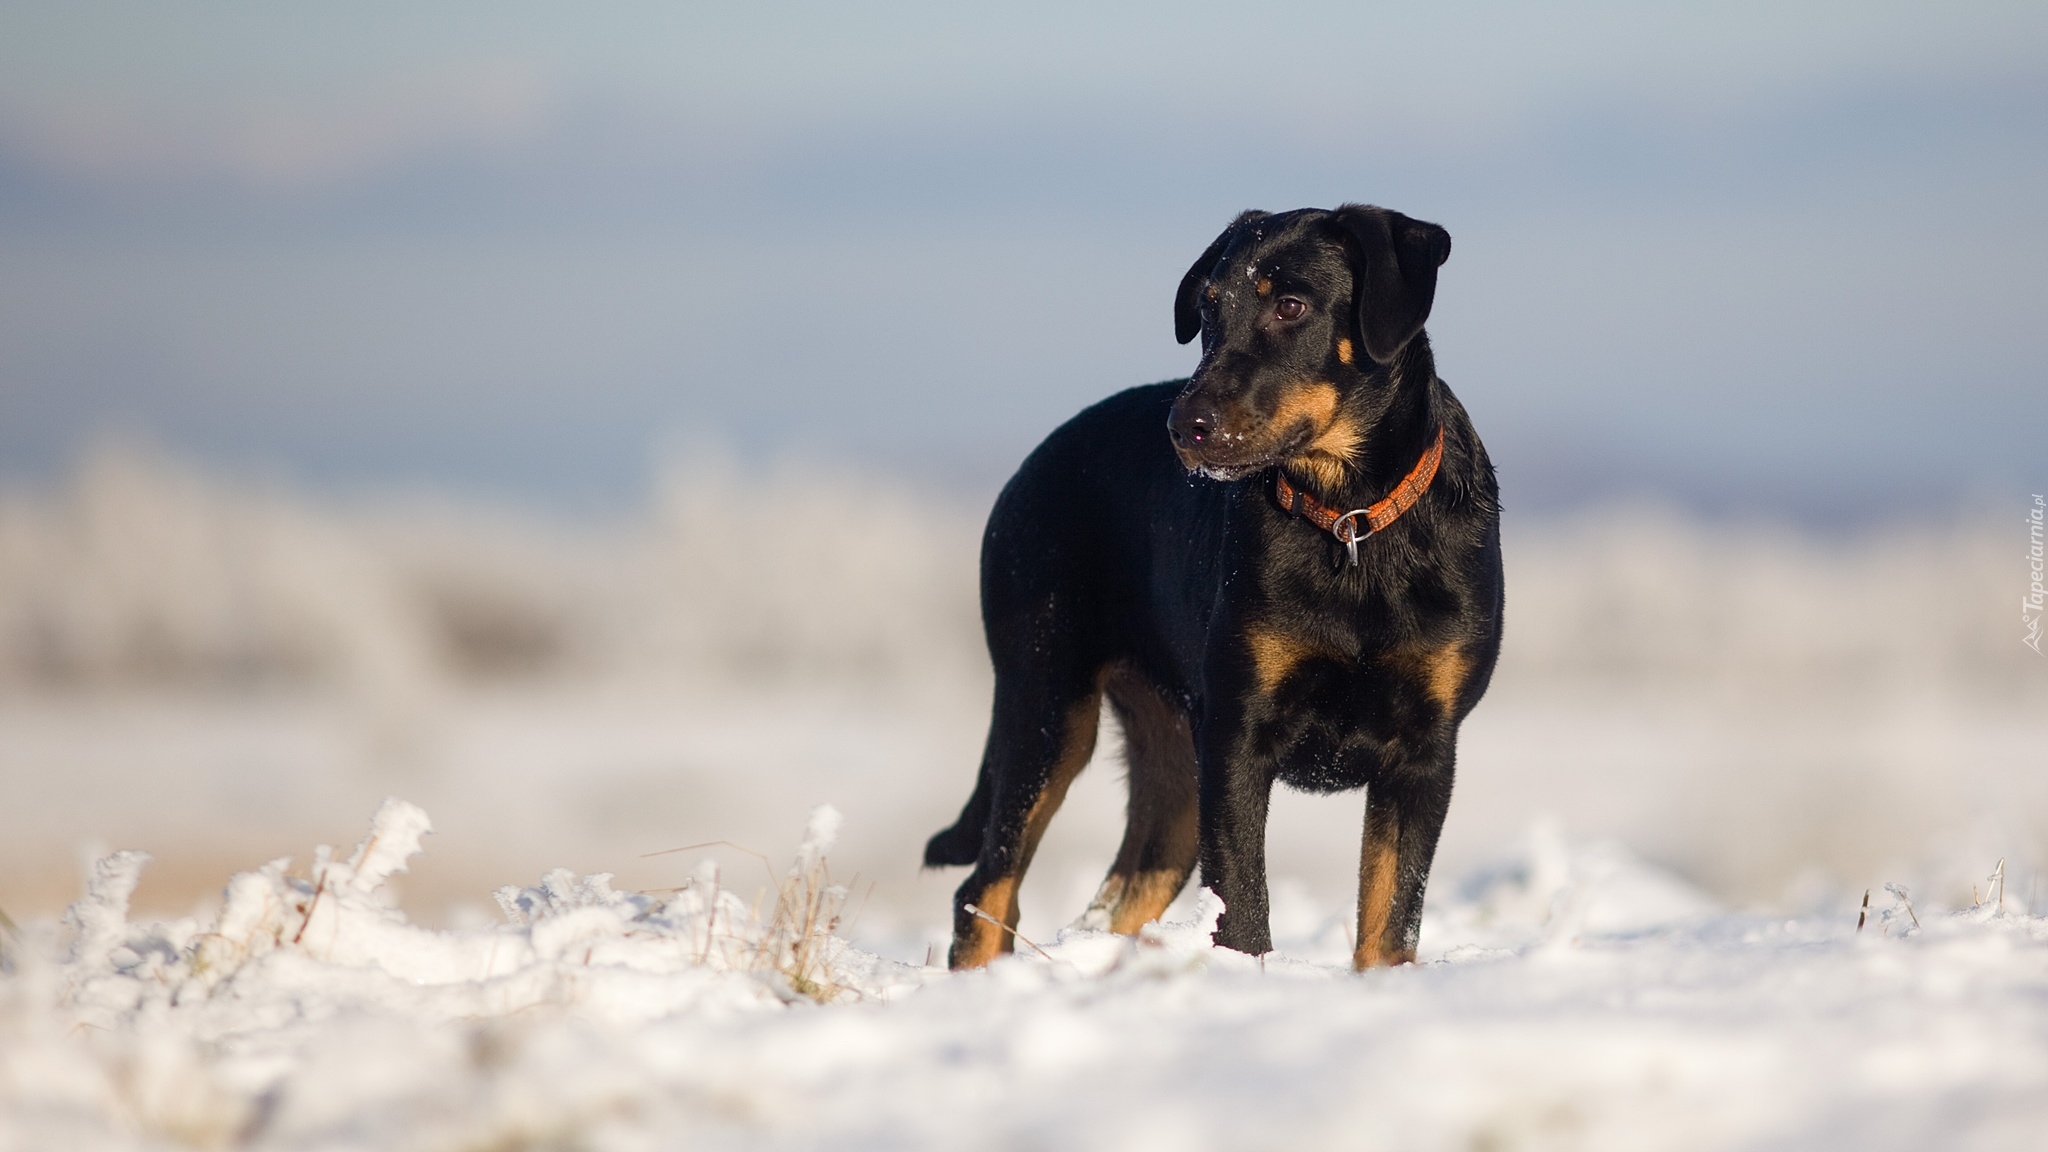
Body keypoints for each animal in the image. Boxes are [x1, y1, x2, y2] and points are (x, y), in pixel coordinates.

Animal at [929, 201, 1507, 963]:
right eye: (1207, 309)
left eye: (1291, 305)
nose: (1184, 424)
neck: (1349, 520)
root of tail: (1028, 469)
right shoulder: (1238, 734)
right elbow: (1243, 910)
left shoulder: (1424, 750)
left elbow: (1390, 919)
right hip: (1047, 701)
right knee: (986, 890)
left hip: (1171, 764)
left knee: (1117, 901)